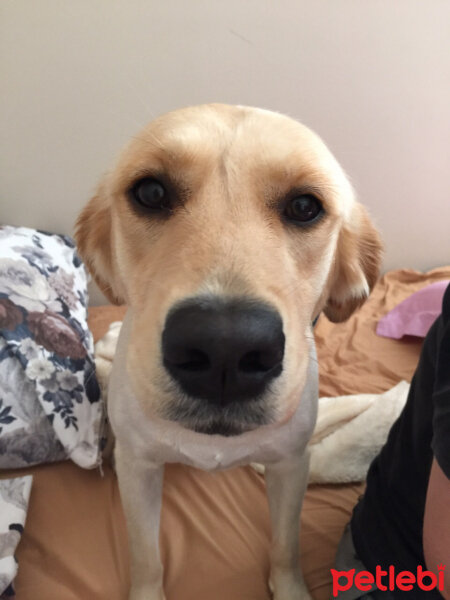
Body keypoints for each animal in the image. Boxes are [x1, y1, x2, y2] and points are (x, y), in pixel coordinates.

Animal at [75, 104, 382, 600]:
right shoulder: (138, 468)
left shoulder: (292, 465)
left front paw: (289, 587)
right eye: (151, 192)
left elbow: (286, 546)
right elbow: (146, 557)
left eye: (304, 206)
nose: (225, 349)